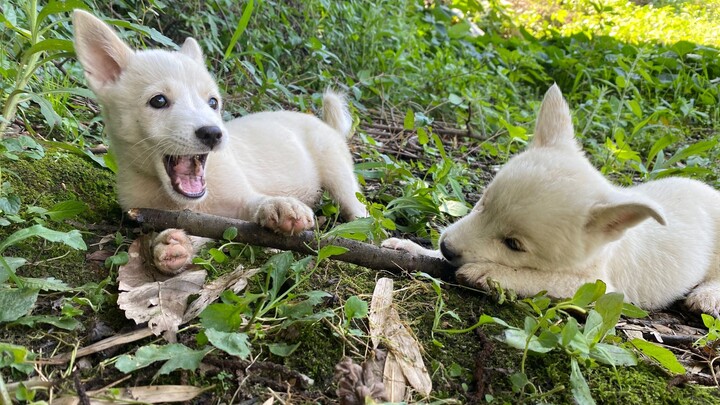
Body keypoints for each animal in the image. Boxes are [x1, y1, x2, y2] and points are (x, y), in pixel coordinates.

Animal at [74, 11, 366, 272]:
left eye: (212, 102)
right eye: (158, 100)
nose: (213, 133)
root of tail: (327, 125)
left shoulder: (240, 198)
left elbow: (254, 203)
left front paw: (281, 206)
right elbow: (200, 230)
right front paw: (174, 244)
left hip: (337, 171)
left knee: (357, 206)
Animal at [386, 84, 720, 312]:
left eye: (513, 245)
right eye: (482, 203)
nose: (447, 246)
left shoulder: (602, 288)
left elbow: (545, 279)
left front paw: (491, 272)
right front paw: (412, 248)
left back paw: (707, 297)